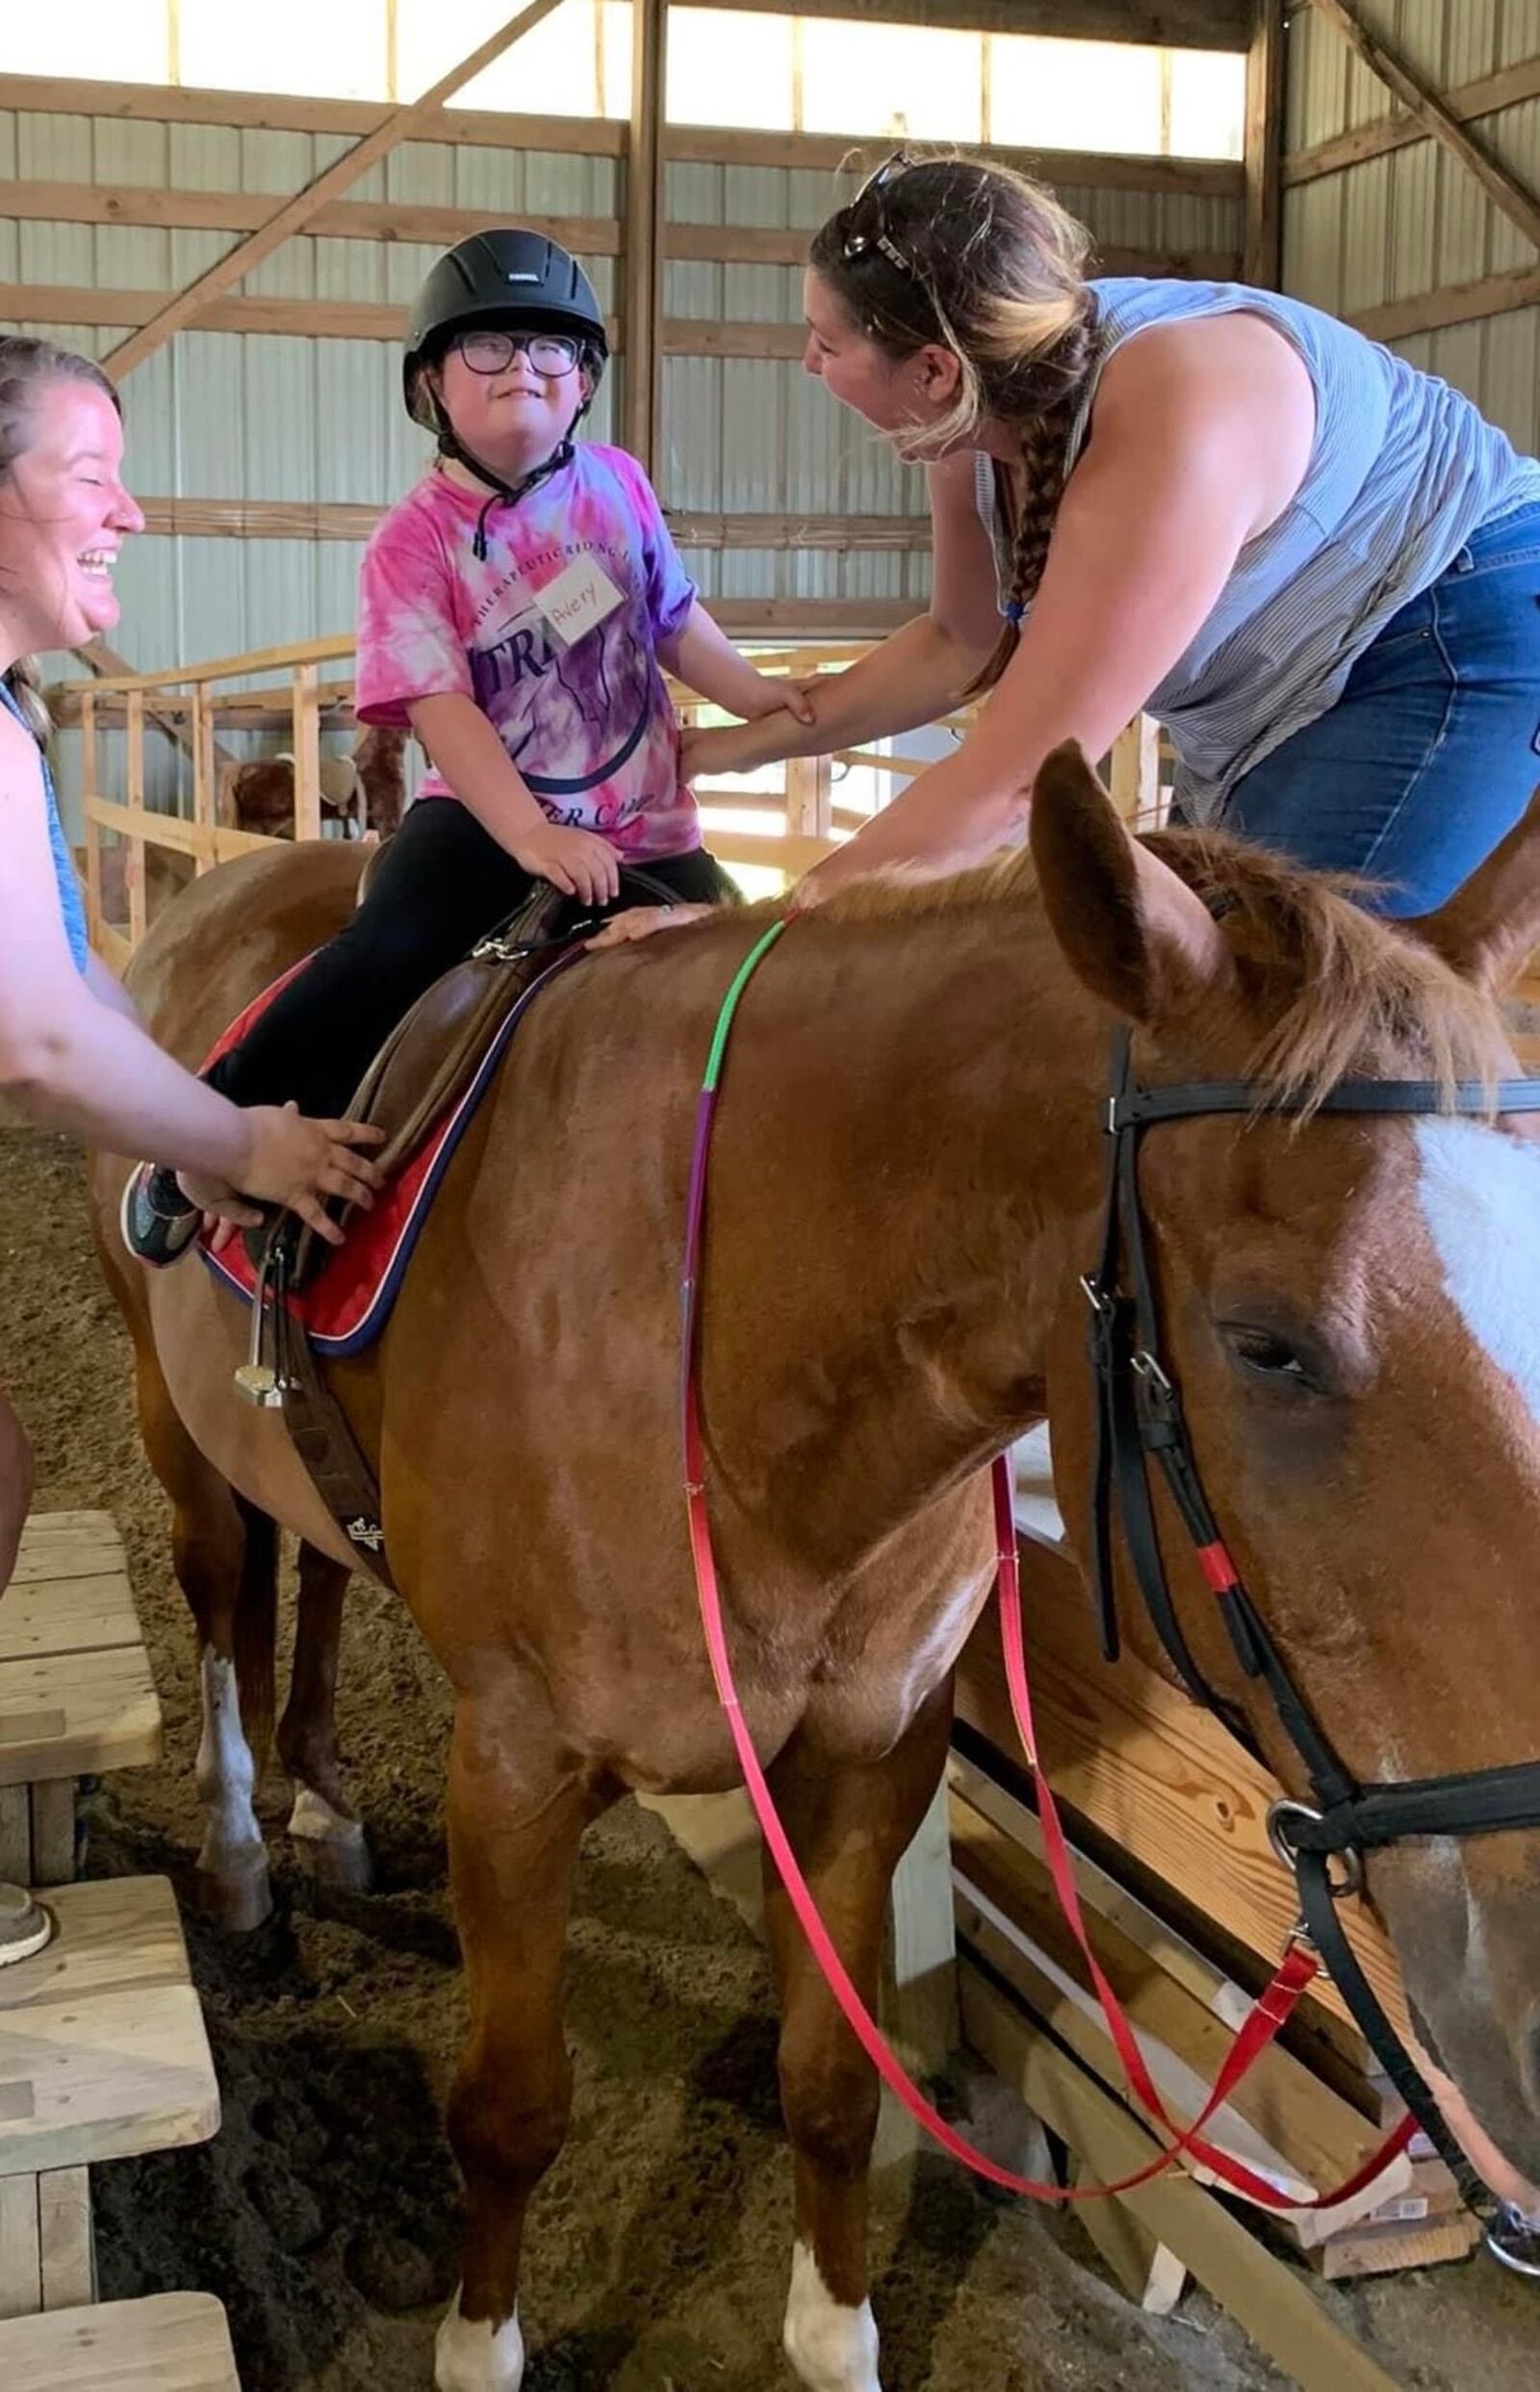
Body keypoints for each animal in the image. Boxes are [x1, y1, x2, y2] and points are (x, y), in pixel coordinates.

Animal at [92, 751, 1540, 2392]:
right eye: (1266, 1342)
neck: (716, 1339)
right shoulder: (512, 1773)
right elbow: (510, 2106)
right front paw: (477, 2344)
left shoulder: (868, 1759)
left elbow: (837, 2081)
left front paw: (834, 2332)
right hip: (171, 1424)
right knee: (219, 1603)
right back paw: (242, 1848)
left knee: (324, 1578)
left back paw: (327, 1800)